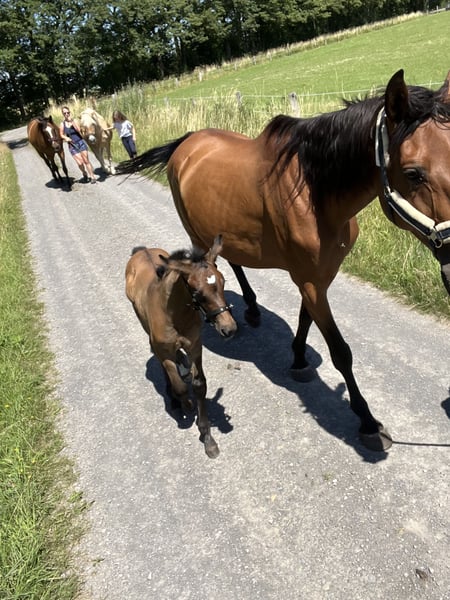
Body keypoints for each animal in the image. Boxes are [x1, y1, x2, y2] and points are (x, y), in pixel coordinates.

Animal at [125, 235, 237, 458]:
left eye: (223, 282)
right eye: (198, 292)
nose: (228, 328)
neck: (175, 314)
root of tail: (141, 251)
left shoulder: (195, 345)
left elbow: (199, 384)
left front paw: (207, 438)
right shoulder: (164, 350)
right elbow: (179, 386)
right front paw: (185, 403)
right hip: (144, 325)